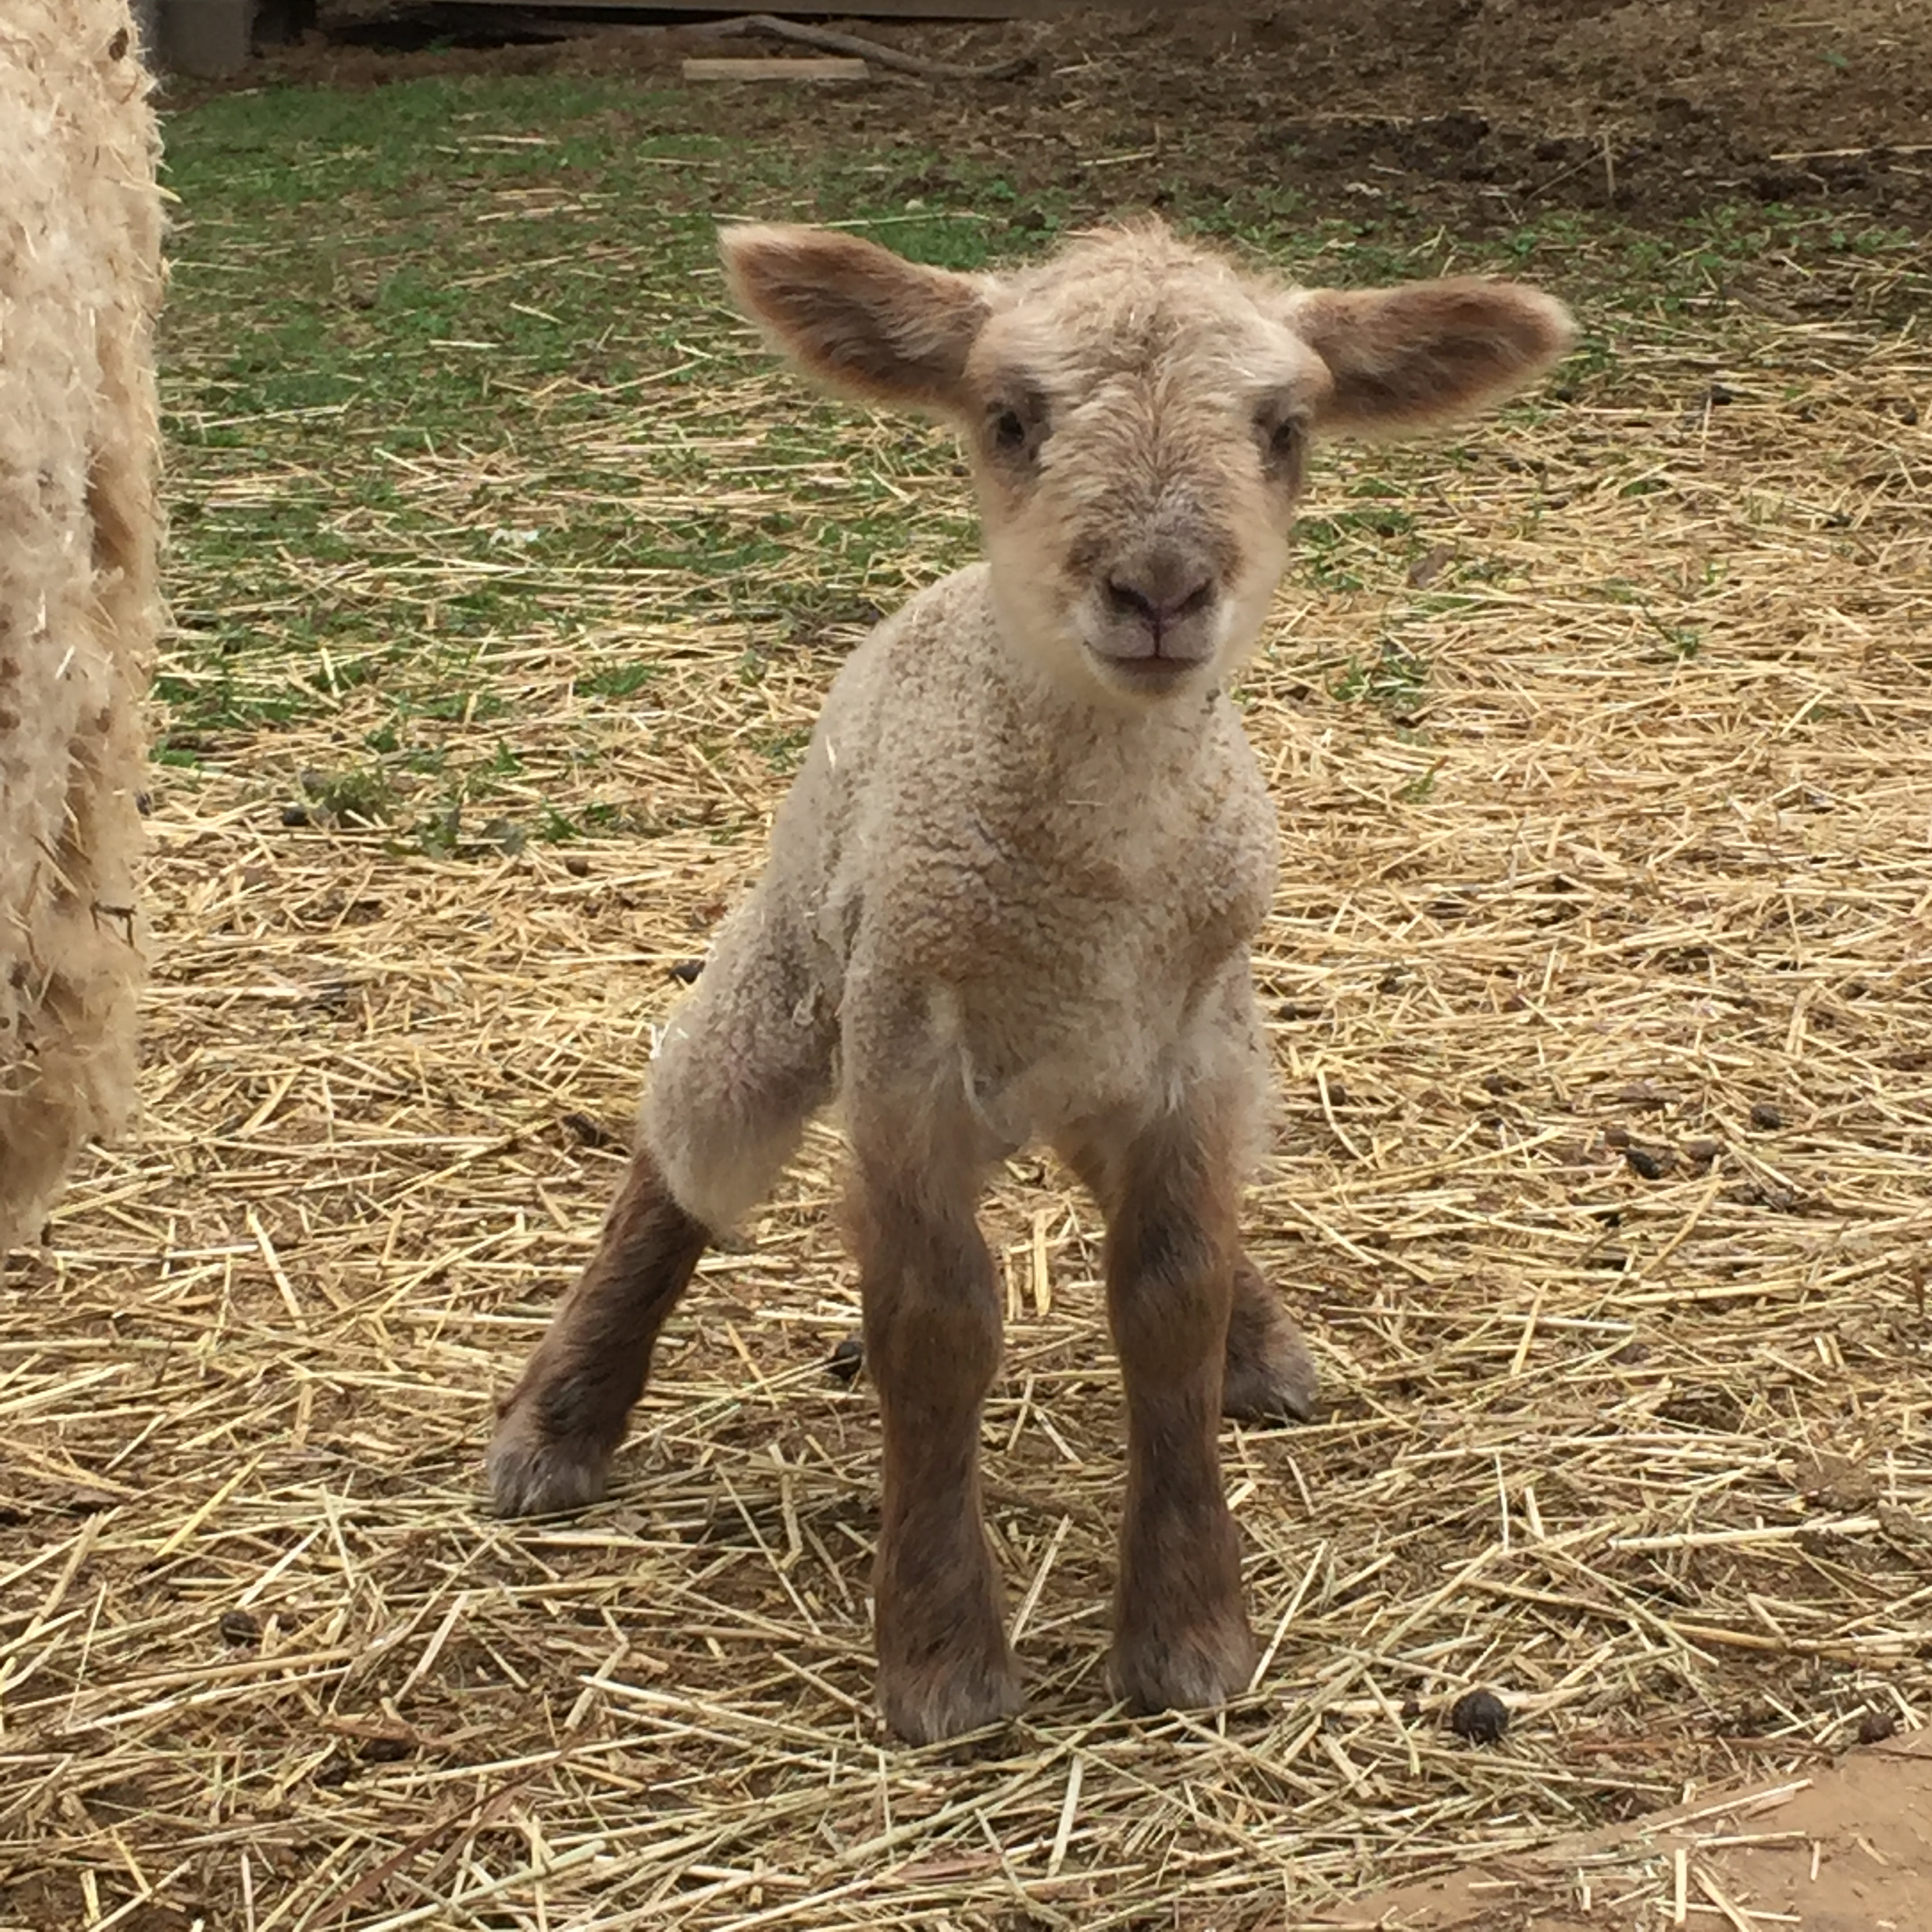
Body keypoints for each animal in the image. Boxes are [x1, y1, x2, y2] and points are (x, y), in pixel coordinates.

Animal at [486, 219, 1568, 1746]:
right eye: (1008, 417)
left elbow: (1171, 1294)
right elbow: (935, 1325)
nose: (1161, 589)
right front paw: (943, 1660)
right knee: (682, 1144)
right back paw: (560, 1419)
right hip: (792, 958)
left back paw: (1263, 1344)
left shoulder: (1186, 1053)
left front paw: (1187, 1631)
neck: (1090, 896)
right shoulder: (905, 1055)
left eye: (1286, 428)